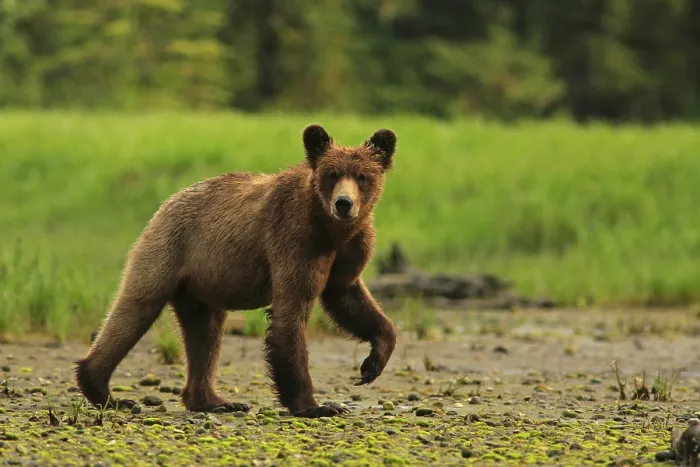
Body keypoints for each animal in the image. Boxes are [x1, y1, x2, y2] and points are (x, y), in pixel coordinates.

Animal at [75, 123, 398, 418]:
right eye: (332, 174)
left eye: (362, 176)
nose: (344, 204)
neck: (331, 230)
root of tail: (167, 201)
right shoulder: (294, 238)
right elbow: (291, 312)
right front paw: (316, 406)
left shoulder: (351, 250)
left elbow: (350, 300)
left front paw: (372, 363)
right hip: (170, 250)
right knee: (136, 307)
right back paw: (105, 390)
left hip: (201, 284)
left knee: (205, 333)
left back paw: (214, 400)